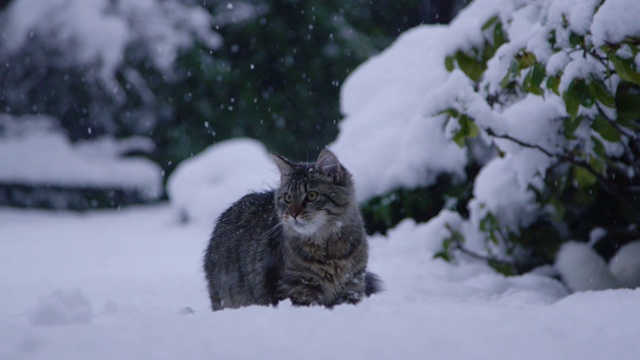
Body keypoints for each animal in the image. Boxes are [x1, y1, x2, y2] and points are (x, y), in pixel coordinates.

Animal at [202, 148, 380, 310]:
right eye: (288, 197)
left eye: (312, 195)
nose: (294, 213)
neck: (328, 247)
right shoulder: (298, 289)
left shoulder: (352, 284)